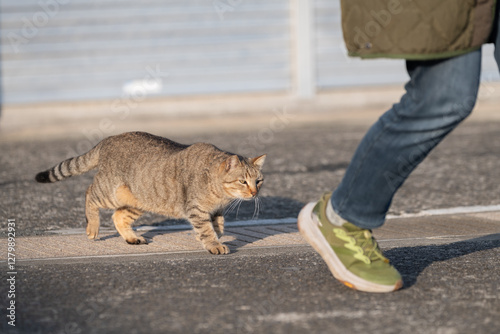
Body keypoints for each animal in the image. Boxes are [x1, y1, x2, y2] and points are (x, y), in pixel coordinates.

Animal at [36, 132, 266, 254]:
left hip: (139, 201)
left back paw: (132, 238)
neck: (220, 193)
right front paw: (214, 244)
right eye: (243, 181)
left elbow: (219, 225)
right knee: (89, 193)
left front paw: (214, 235)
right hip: (109, 192)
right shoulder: (196, 209)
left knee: (118, 216)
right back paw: (92, 228)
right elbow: (207, 230)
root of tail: (107, 139)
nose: (254, 193)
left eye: (259, 181)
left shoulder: (215, 211)